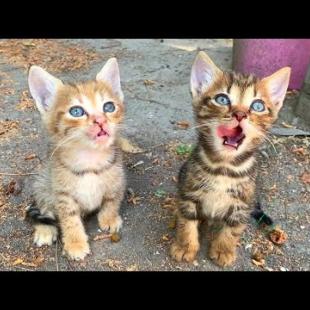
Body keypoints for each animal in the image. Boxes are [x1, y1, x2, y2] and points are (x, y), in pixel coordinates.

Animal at [26, 58, 126, 262]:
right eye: (77, 111)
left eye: (109, 107)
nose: (100, 120)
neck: (90, 157)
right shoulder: (62, 194)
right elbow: (69, 219)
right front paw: (75, 243)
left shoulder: (118, 179)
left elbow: (112, 200)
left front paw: (109, 218)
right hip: (43, 182)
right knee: (43, 209)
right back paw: (45, 230)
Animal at [170, 50, 290, 266]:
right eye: (222, 99)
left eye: (258, 105)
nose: (240, 114)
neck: (224, 168)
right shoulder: (188, 192)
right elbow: (187, 222)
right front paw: (184, 247)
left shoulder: (242, 205)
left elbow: (232, 229)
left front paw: (223, 250)